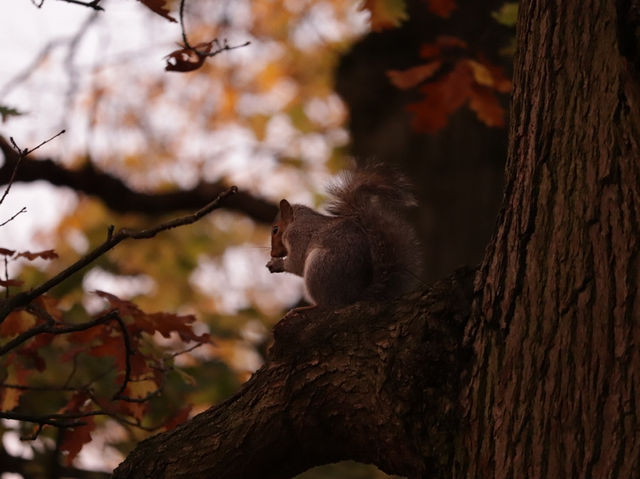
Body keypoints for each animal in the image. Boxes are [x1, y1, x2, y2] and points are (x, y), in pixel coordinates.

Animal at [266, 163, 422, 310]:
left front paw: (277, 264)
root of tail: (354, 296)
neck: (296, 221)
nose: (272, 253)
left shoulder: (298, 235)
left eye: (275, 230)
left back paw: (305, 308)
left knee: (326, 304)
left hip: (319, 265)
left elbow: (296, 263)